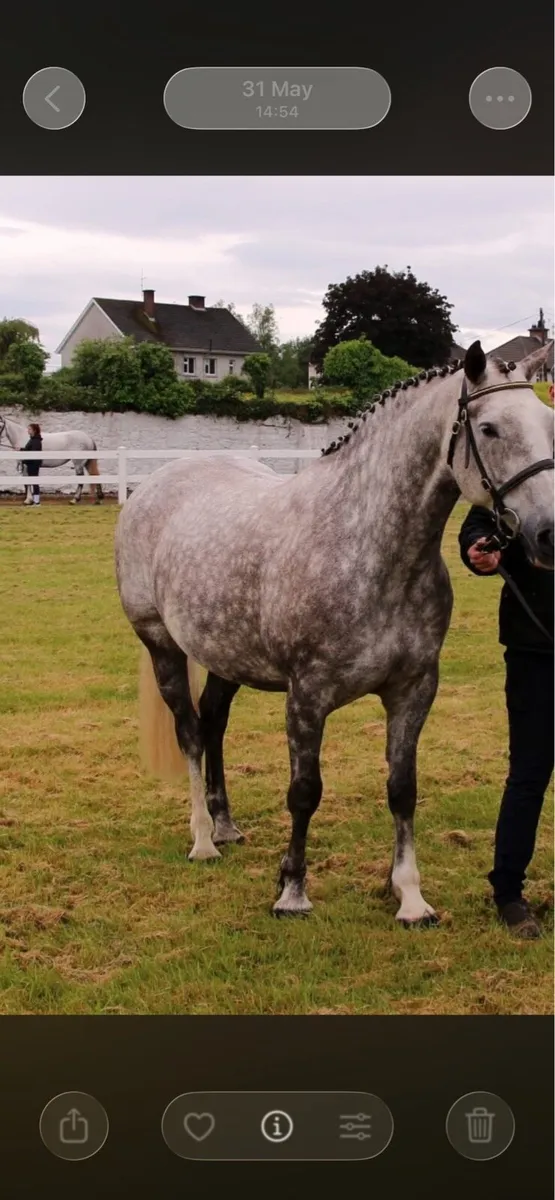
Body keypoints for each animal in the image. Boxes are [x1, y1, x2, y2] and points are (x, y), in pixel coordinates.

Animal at [115, 340, 554, 925]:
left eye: (548, 424)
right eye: (488, 429)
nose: (548, 533)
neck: (367, 546)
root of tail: (152, 485)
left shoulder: (413, 690)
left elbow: (402, 789)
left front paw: (410, 897)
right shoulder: (307, 695)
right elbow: (304, 792)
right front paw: (292, 892)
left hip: (227, 656)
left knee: (212, 724)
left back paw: (225, 825)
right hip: (160, 643)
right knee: (188, 731)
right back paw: (204, 839)